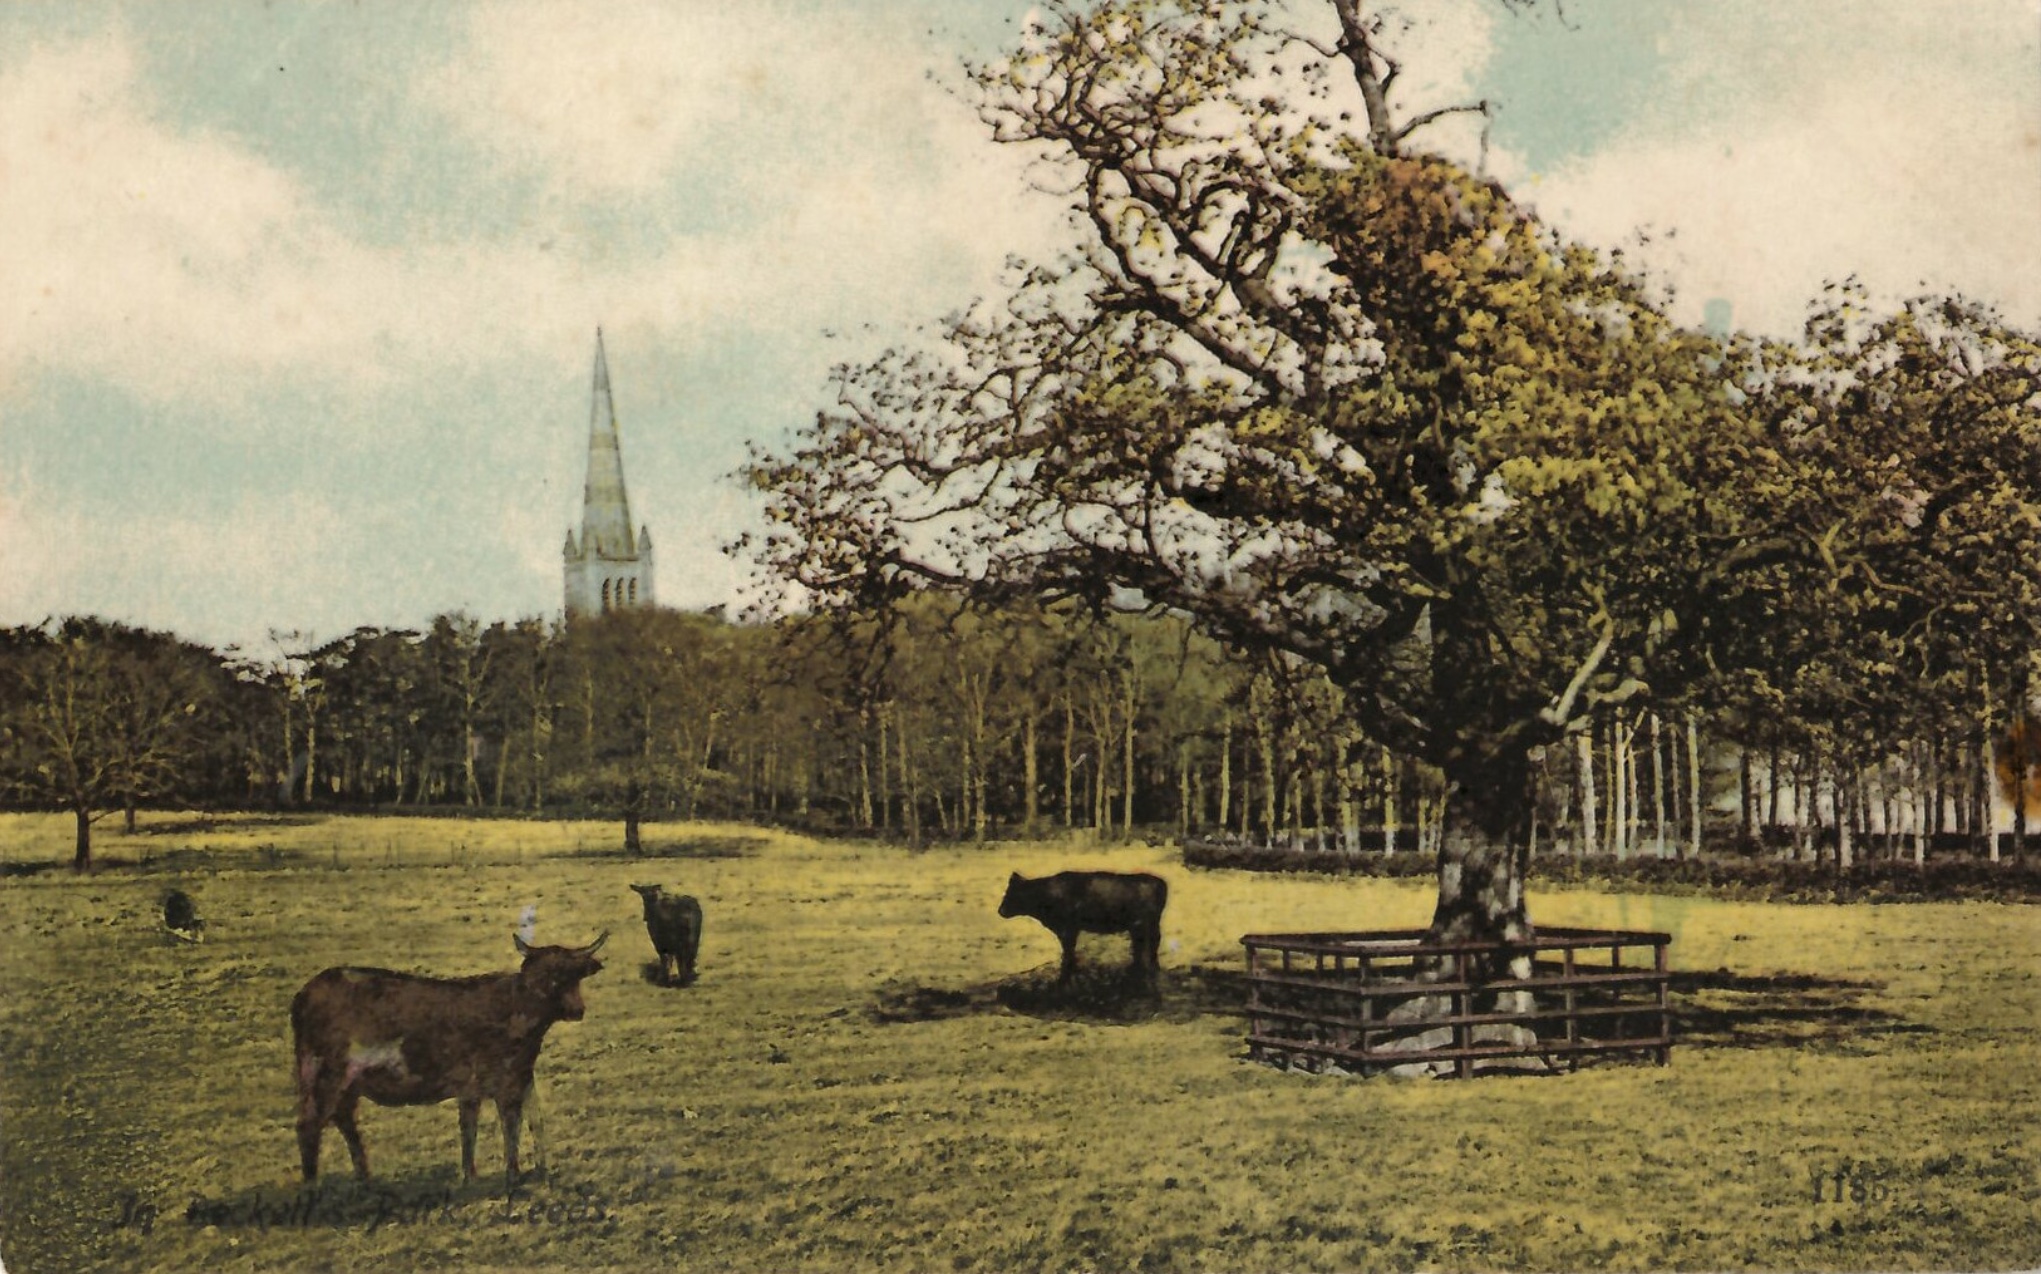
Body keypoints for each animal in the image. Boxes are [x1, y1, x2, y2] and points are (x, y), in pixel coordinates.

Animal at [291, 931, 604, 1192]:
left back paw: (365, 1180)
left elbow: (480, 1128)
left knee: (343, 1119)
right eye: (544, 975)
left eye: (572, 974)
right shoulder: (508, 1083)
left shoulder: (489, 1084)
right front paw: (513, 1178)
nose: (577, 1010)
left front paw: (472, 1178)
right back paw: (313, 1189)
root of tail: (304, 994)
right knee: (310, 1124)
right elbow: (512, 1128)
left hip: (345, 1082)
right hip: (327, 1072)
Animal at [1000, 865, 1167, 984]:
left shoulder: (1067, 931)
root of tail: (1159, 882)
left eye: (1011, 893)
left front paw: (1064, 978)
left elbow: (1068, 953)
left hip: (1143, 926)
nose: (1000, 910)